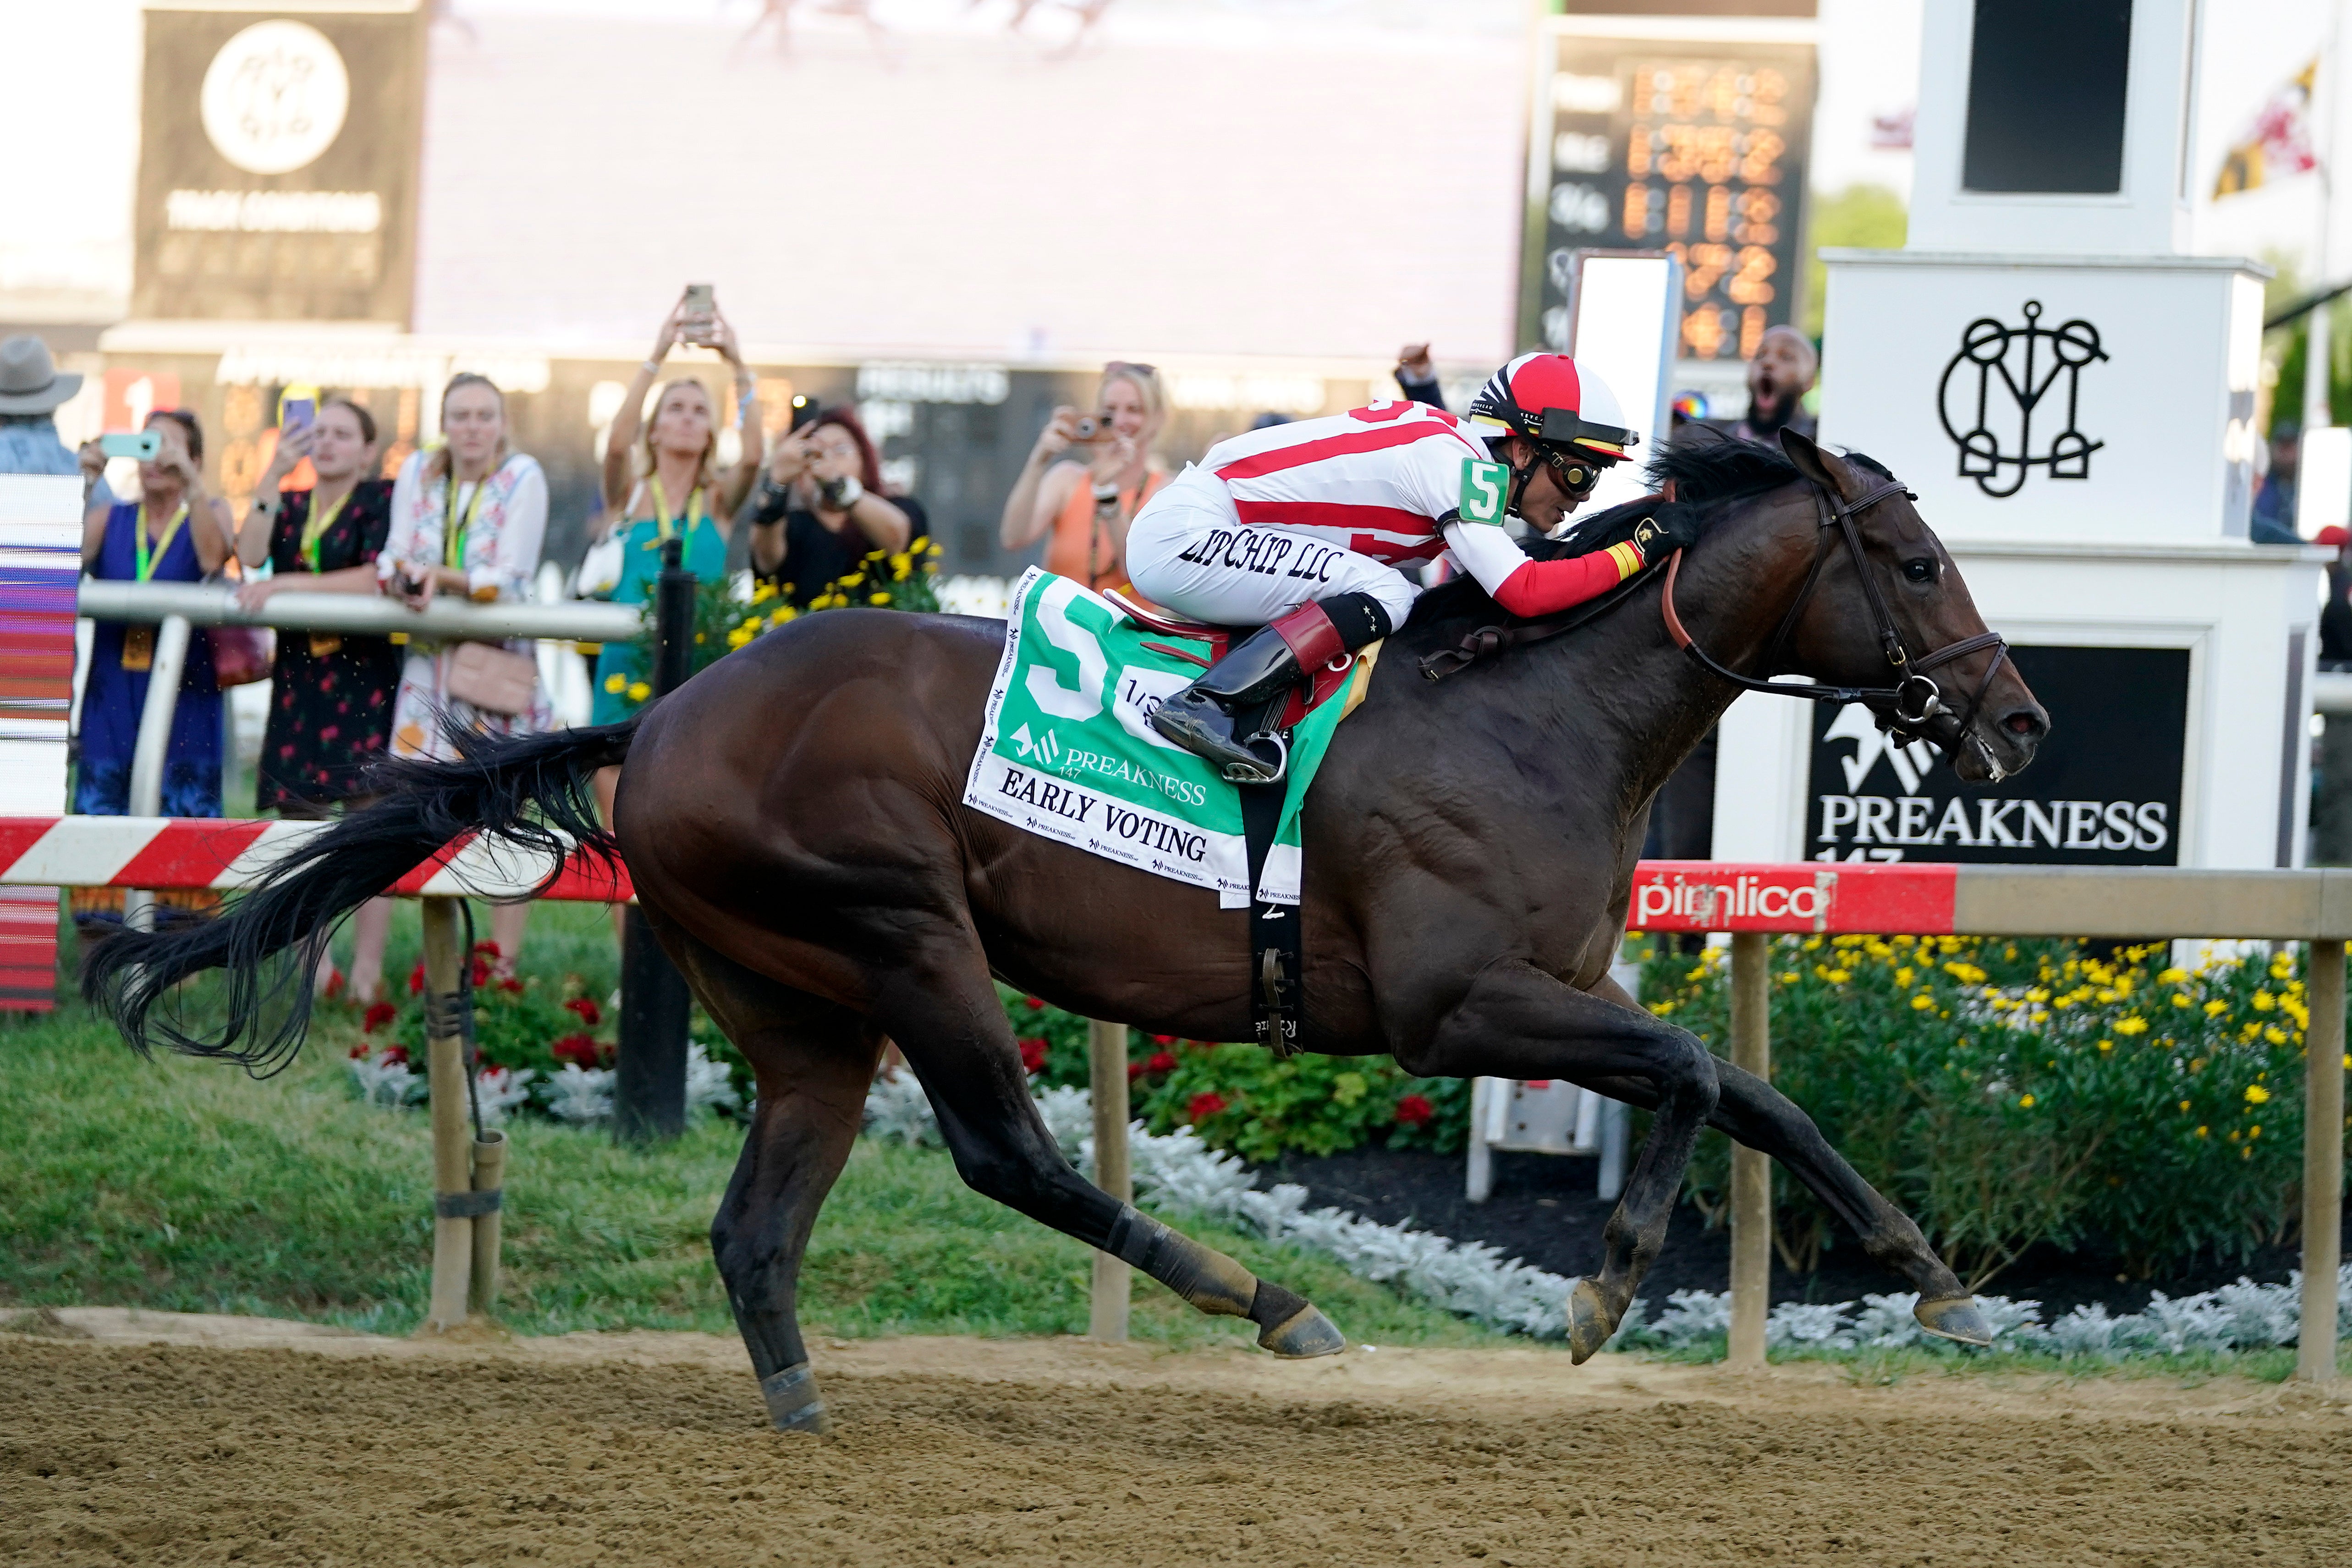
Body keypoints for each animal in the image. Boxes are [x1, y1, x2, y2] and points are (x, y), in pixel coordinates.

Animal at [87, 429, 2048, 1433]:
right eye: (1917, 562)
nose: (2019, 723)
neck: (1532, 711)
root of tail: (659, 718)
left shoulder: (1548, 994)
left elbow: (1733, 1088)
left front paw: (1902, 1275)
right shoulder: (1451, 1009)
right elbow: (1706, 1073)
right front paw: (1635, 1284)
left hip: (794, 995)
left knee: (758, 1221)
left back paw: (803, 1413)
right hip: (900, 928)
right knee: (1007, 1154)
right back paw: (1271, 1307)